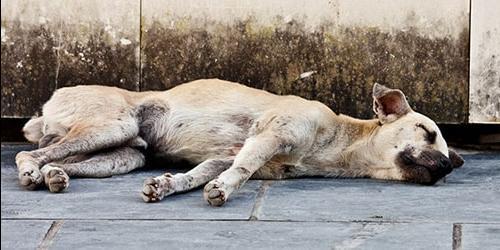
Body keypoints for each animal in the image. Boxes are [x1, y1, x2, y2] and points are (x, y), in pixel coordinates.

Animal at [16, 79, 464, 206]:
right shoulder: (270, 135)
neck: (336, 139)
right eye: (428, 133)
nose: (447, 166)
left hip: (121, 155)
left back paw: (52, 176)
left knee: (60, 161)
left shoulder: (224, 156)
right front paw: (224, 191)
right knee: (27, 152)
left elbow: (197, 174)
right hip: (113, 126)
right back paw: (29, 171)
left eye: (446, 156)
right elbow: (242, 171)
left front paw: (167, 185)